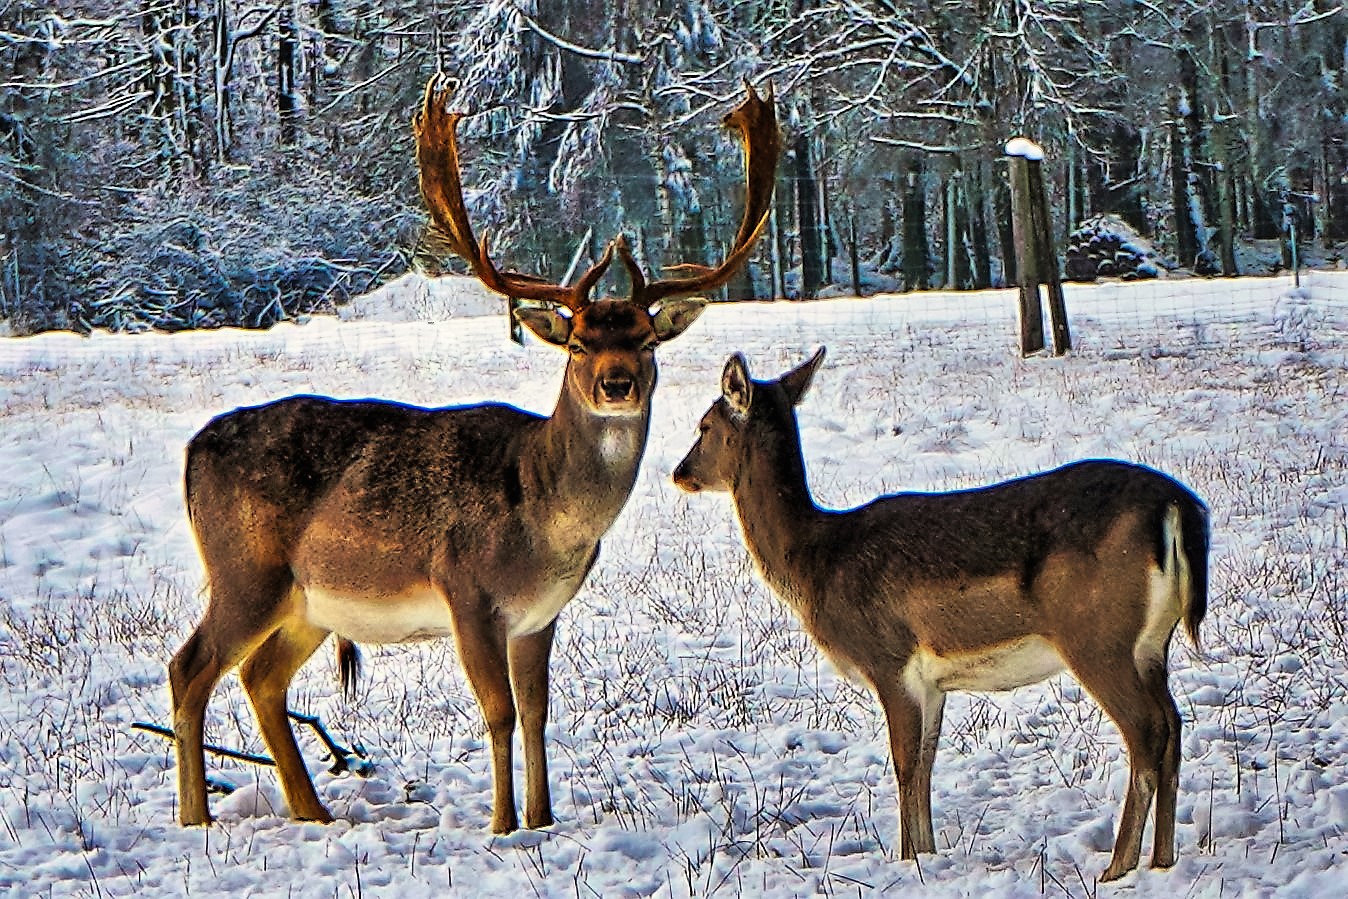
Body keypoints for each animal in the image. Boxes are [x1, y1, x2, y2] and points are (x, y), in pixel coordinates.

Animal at [168, 79, 781, 835]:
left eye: (644, 339)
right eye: (578, 342)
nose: (617, 384)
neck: (545, 515)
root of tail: (192, 450)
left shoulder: (540, 613)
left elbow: (539, 711)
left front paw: (543, 816)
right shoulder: (466, 591)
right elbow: (499, 712)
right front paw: (502, 824)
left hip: (306, 601)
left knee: (260, 678)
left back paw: (314, 812)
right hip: (243, 568)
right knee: (190, 665)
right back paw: (196, 817)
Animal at [674, 347, 1213, 884]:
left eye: (705, 425)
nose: (679, 472)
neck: (817, 563)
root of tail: (1178, 506)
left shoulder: (889, 659)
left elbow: (904, 763)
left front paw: (906, 859)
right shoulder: (933, 682)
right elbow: (926, 763)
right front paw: (928, 856)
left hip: (1096, 636)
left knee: (1147, 729)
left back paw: (1118, 867)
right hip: (1150, 644)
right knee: (1173, 723)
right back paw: (1162, 859)